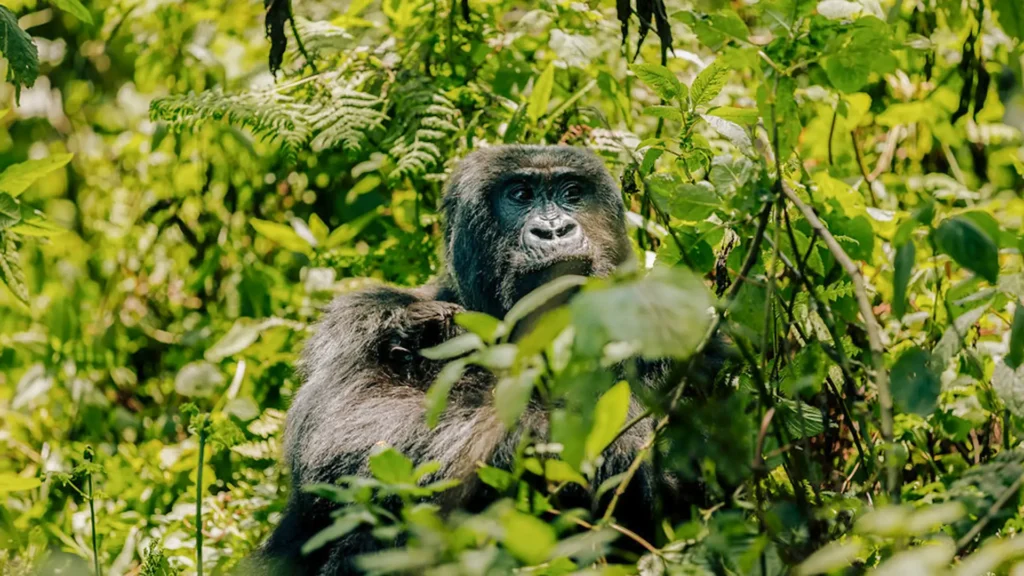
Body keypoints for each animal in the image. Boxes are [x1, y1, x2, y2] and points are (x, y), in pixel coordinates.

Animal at [253, 145, 717, 576]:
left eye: (571, 193)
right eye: (520, 194)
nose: (554, 230)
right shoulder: (365, 317)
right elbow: (347, 428)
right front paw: (593, 447)